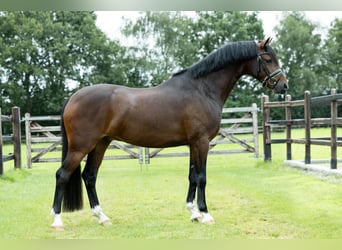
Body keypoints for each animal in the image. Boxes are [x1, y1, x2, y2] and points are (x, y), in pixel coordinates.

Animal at [50, 37, 288, 230]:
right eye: (268, 59)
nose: (284, 86)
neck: (202, 89)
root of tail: (73, 97)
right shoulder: (201, 142)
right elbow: (202, 177)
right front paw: (206, 214)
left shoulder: (193, 143)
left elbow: (192, 176)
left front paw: (193, 213)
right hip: (81, 146)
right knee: (62, 175)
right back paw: (57, 220)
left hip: (101, 143)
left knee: (89, 176)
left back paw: (102, 217)